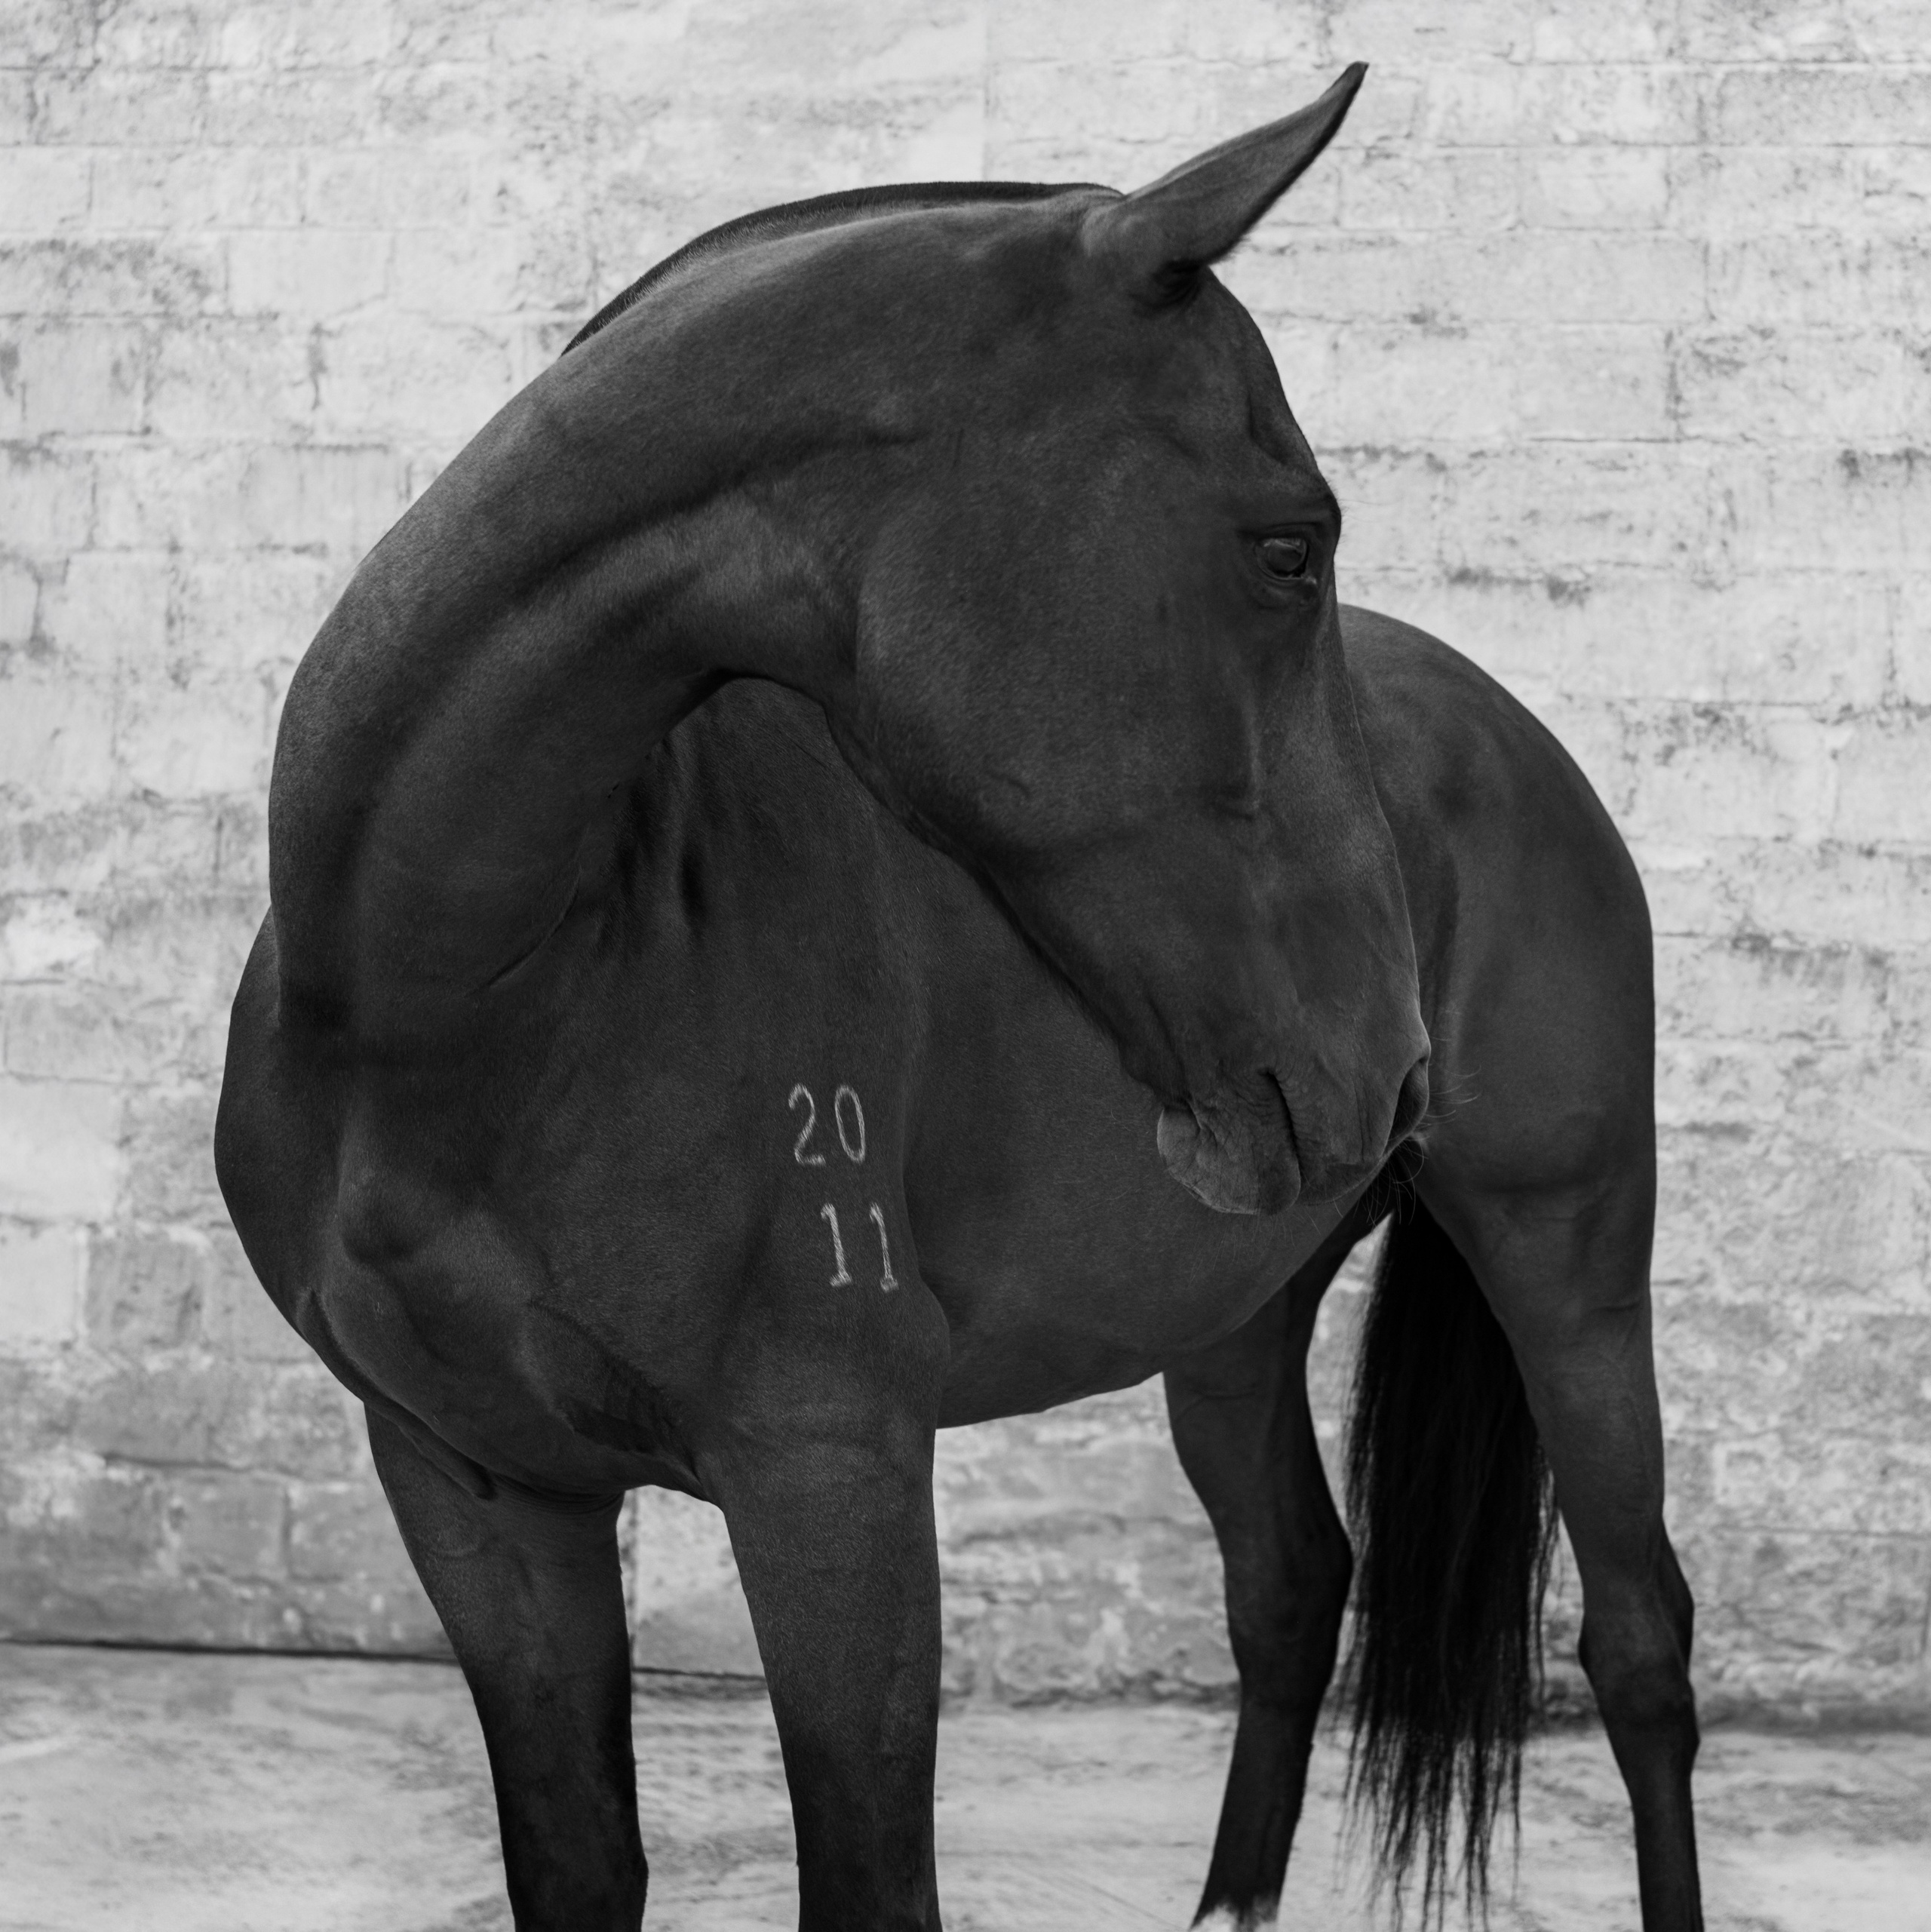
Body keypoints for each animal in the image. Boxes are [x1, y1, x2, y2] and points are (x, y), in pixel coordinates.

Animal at [214, 65, 1703, 1932]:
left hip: (1562, 1255)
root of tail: (1513, 736)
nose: (1387, 1066)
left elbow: (869, 1873)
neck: (458, 1009)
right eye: (1286, 547)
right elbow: (576, 1861)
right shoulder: (474, 1488)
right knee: (1289, 1578)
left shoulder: (829, 1473)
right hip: (1228, 1303)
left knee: (1638, 1639)